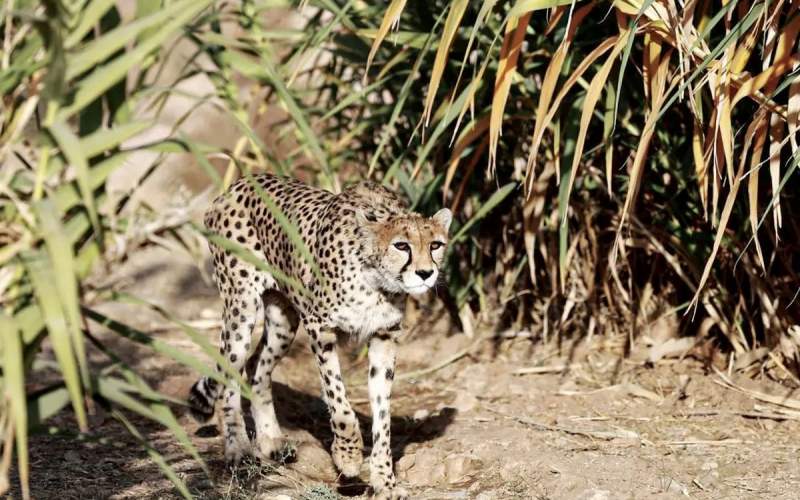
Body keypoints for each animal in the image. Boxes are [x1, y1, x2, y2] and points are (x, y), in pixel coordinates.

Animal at [186, 174, 450, 498]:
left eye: (436, 244)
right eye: (401, 245)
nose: (426, 273)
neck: (377, 281)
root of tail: (239, 183)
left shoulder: (384, 338)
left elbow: (382, 415)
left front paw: (384, 480)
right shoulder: (319, 328)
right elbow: (339, 402)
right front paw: (348, 456)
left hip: (283, 320)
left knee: (257, 367)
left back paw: (271, 440)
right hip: (241, 308)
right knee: (230, 376)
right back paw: (238, 450)